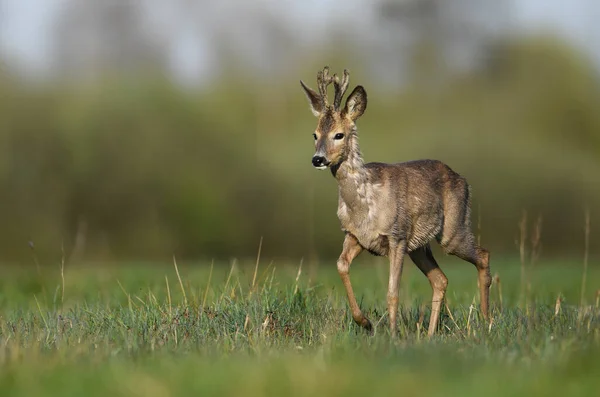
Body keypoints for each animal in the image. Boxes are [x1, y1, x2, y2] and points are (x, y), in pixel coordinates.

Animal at [300, 66, 492, 336]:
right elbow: (341, 265)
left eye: (339, 134)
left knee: (482, 255)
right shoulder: (355, 235)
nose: (317, 159)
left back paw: (486, 320)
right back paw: (430, 335)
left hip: (453, 229)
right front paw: (365, 321)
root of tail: (463, 180)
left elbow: (392, 292)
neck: (365, 203)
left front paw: (392, 334)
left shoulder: (397, 235)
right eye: (315, 134)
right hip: (420, 247)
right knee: (440, 279)